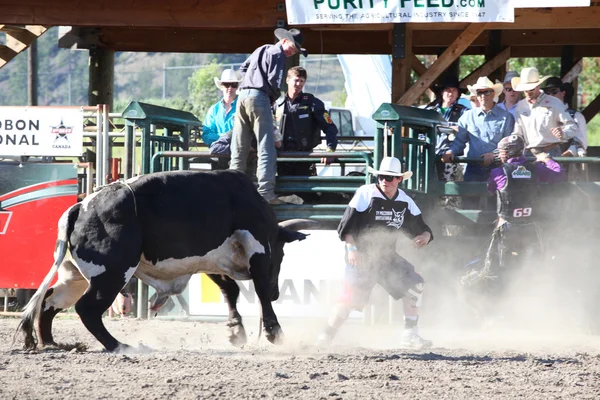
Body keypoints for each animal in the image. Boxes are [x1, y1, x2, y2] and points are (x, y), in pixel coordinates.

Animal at [18, 170, 314, 352]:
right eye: (282, 254)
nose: (277, 292)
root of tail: (81, 206)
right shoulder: (257, 246)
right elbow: (259, 289)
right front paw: (275, 332)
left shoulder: (211, 258)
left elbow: (229, 289)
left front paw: (235, 331)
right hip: (112, 273)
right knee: (87, 309)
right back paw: (120, 346)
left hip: (74, 276)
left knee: (50, 301)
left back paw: (52, 343)